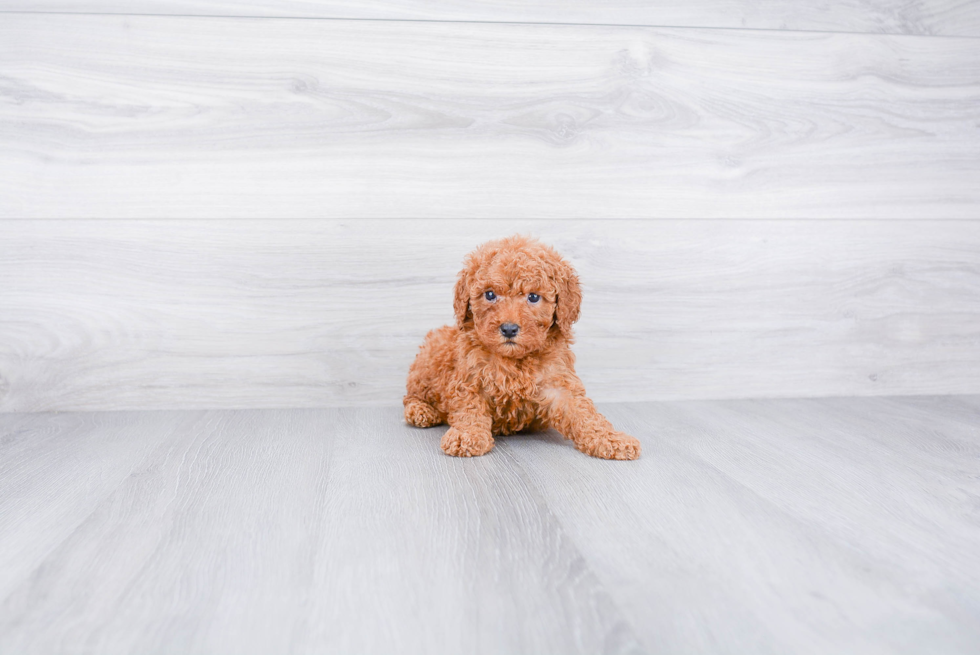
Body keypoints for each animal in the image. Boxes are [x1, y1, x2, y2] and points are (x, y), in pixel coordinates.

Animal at [402, 237, 640, 462]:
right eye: (490, 295)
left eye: (533, 297)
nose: (508, 328)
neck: (515, 360)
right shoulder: (469, 379)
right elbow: (469, 408)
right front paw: (467, 436)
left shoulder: (558, 382)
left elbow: (584, 413)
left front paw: (612, 439)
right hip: (427, 362)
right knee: (411, 396)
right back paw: (422, 411)